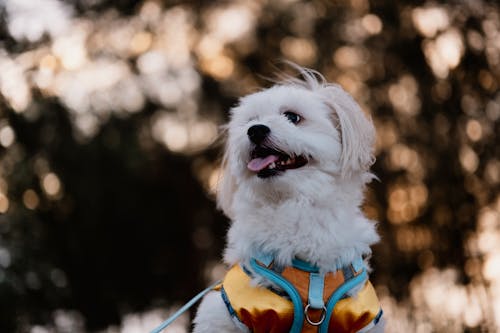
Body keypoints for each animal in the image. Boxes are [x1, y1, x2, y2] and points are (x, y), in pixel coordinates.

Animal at [193, 65, 384, 332]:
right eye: (250, 121)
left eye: (293, 117)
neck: (295, 205)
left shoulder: (361, 314)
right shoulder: (229, 310)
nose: (256, 130)